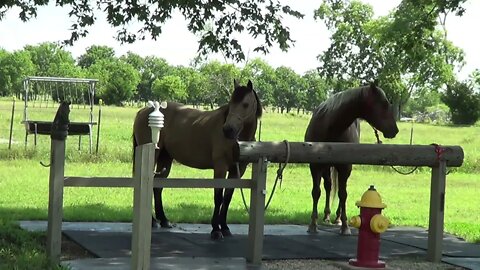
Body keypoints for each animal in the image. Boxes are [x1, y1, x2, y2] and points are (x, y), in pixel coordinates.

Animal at [132, 79, 262, 239]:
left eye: (245, 104)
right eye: (231, 103)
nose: (227, 130)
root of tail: (143, 111)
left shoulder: (237, 171)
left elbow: (227, 198)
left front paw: (225, 227)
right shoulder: (220, 168)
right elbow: (218, 197)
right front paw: (216, 229)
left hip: (165, 158)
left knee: (157, 186)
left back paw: (163, 220)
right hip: (154, 155)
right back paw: (152, 221)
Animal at [306, 81, 400, 235]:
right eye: (384, 103)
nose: (394, 130)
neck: (330, 126)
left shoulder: (345, 167)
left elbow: (343, 194)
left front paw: (345, 225)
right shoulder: (315, 166)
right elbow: (316, 192)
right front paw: (313, 224)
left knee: (339, 190)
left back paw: (337, 218)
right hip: (327, 168)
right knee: (328, 186)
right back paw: (326, 215)